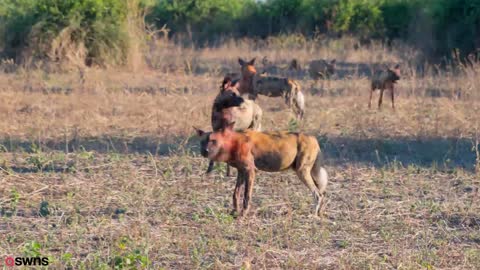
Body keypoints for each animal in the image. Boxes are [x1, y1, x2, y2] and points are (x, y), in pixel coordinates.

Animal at [194, 123, 326, 218]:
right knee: (321, 193)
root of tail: (314, 139)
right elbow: (236, 194)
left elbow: (246, 196)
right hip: (310, 174)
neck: (233, 143)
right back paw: (319, 213)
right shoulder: (241, 171)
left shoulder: (250, 171)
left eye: (214, 141)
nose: (205, 151)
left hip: (302, 172)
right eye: (202, 142)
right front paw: (234, 212)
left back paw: (313, 215)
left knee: (317, 194)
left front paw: (243, 214)